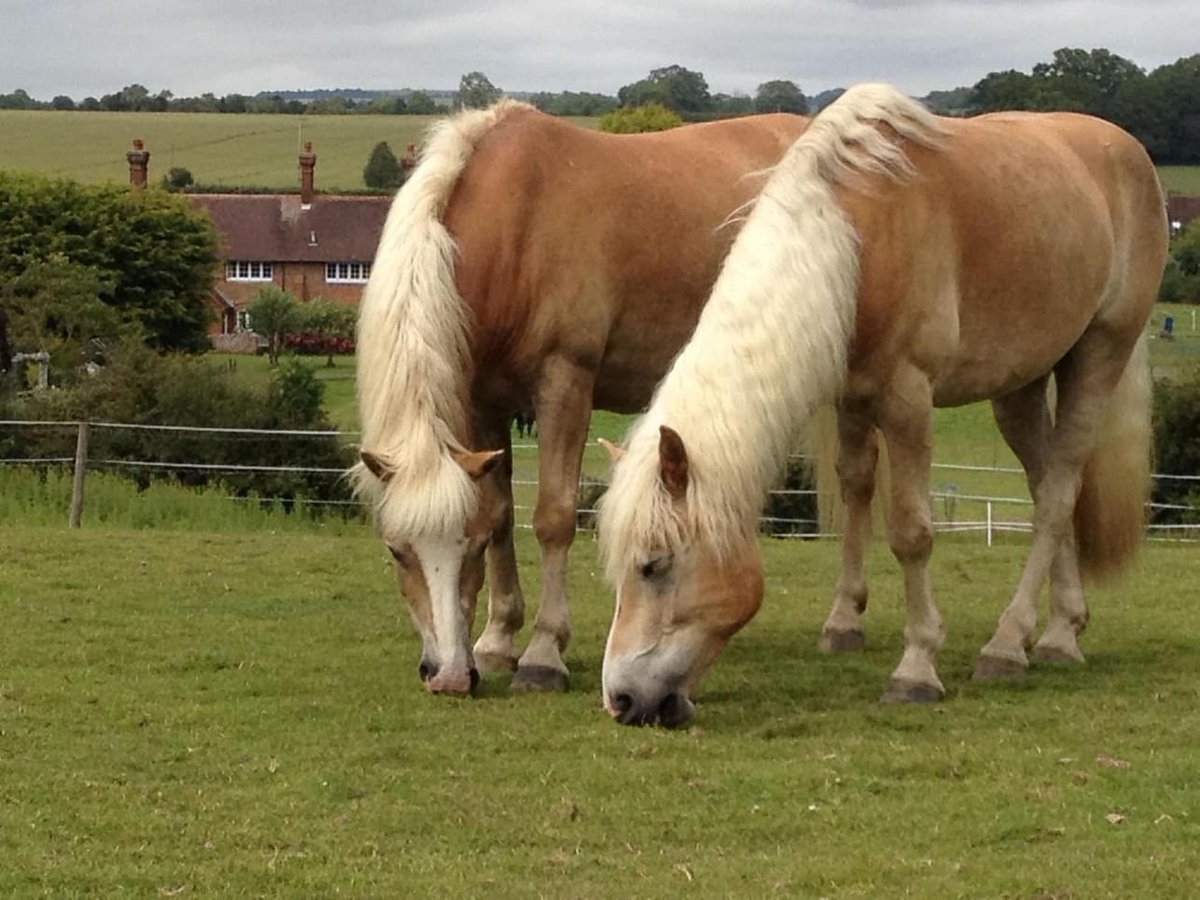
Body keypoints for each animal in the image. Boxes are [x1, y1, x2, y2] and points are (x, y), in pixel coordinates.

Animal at [351, 101, 807, 695]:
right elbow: (502, 513)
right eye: (396, 550)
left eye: (467, 548)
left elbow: (553, 517)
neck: (516, 228)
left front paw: (543, 654)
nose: (449, 676)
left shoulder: (564, 384)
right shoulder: (485, 405)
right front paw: (497, 642)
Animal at [597, 83, 1167, 727]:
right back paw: (1057, 632)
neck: (855, 235)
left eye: (655, 565)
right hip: (1018, 386)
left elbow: (911, 532)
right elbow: (856, 489)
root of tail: (1127, 150)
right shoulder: (851, 395)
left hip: (1099, 355)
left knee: (1058, 493)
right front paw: (843, 623)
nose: (620, 700)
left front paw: (916, 667)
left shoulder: (908, 401)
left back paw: (1009, 645)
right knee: (1047, 482)